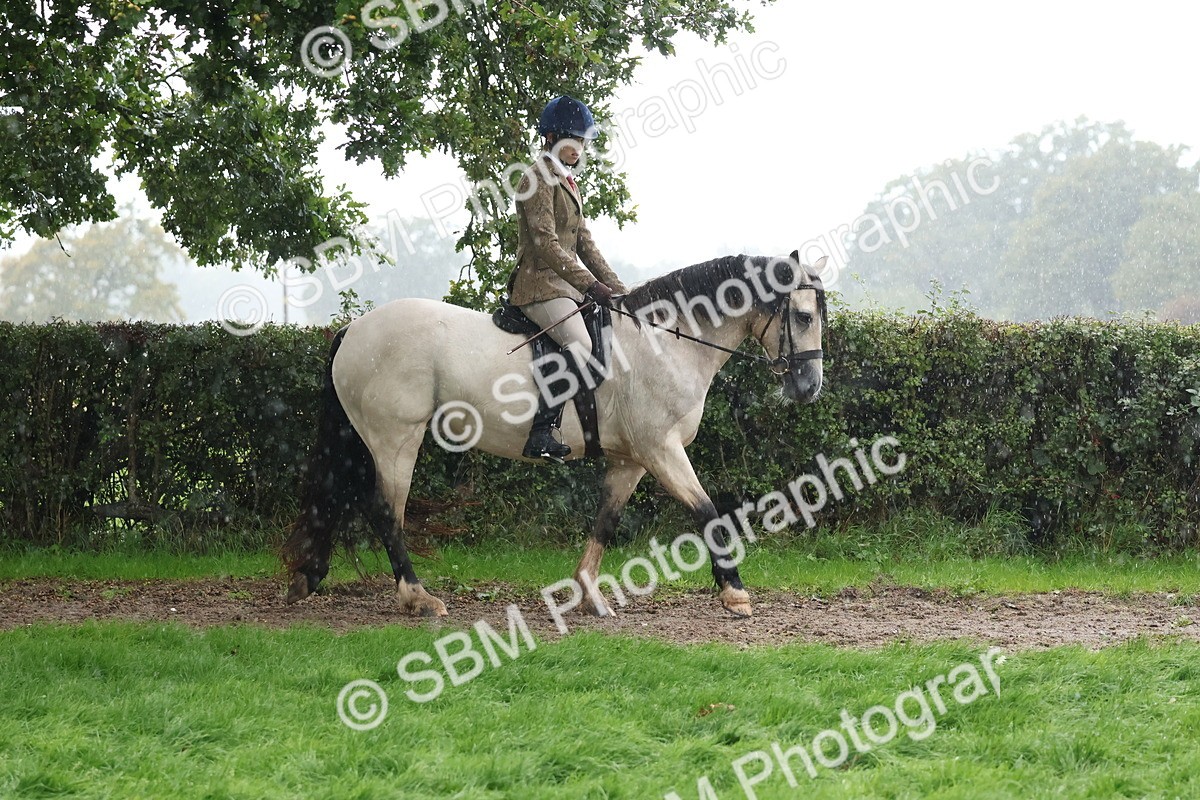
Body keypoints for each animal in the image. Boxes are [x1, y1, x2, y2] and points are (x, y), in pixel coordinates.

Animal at [283, 251, 827, 618]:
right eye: (803, 316)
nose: (809, 386)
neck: (662, 342)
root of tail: (353, 329)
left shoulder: (630, 460)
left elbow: (606, 520)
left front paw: (589, 594)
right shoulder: (660, 449)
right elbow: (708, 511)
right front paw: (734, 592)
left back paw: (312, 578)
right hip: (396, 438)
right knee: (385, 511)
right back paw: (419, 598)